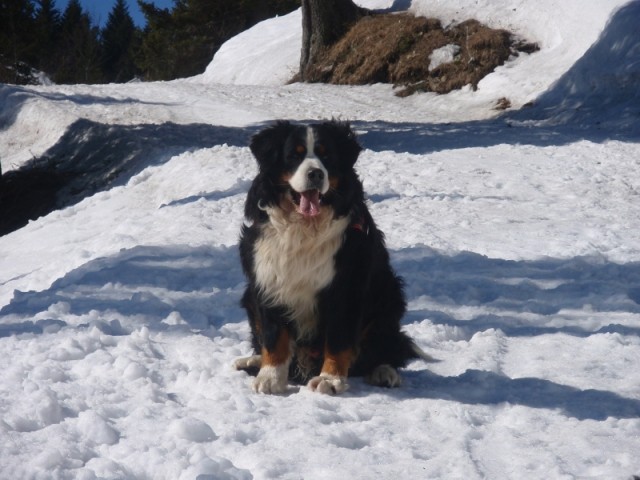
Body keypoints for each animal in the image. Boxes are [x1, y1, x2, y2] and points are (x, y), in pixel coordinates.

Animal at [234, 120, 424, 394]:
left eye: (327, 156)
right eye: (295, 155)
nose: (316, 174)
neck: (304, 229)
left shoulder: (345, 288)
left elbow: (338, 339)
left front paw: (330, 380)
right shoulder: (268, 278)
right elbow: (273, 336)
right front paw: (270, 378)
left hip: (389, 296)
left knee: (385, 348)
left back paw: (384, 372)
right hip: (249, 297)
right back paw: (252, 360)